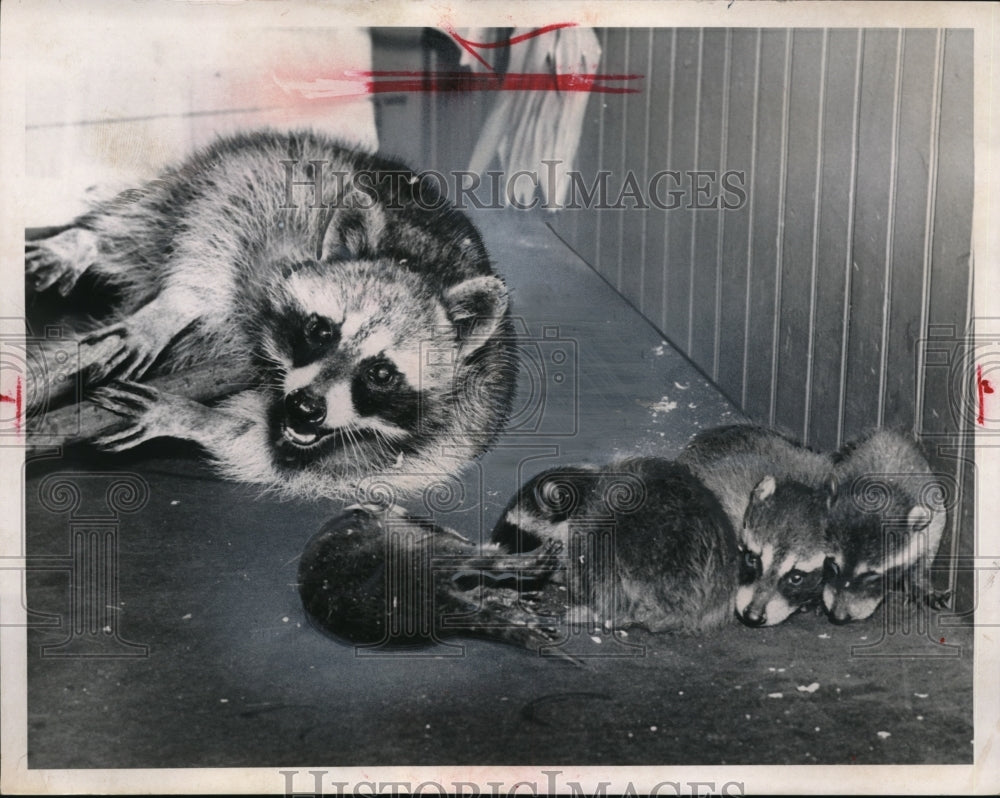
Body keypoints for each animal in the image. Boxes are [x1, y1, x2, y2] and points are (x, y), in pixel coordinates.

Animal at [25, 129, 517, 501]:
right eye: (320, 330)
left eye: (381, 373)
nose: (305, 407)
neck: (415, 260)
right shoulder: (282, 218)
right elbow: (213, 245)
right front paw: (173, 308)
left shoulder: (434, 443)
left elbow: (259, 450)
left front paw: (189, 416)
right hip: (233, 169)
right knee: (145, 222)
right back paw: (84, 245)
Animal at [822, 429, 948, 623]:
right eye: (834, 565)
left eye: (872, 575)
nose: (838, 616)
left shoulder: (933, 515)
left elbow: (927, 550)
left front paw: (918, 580)